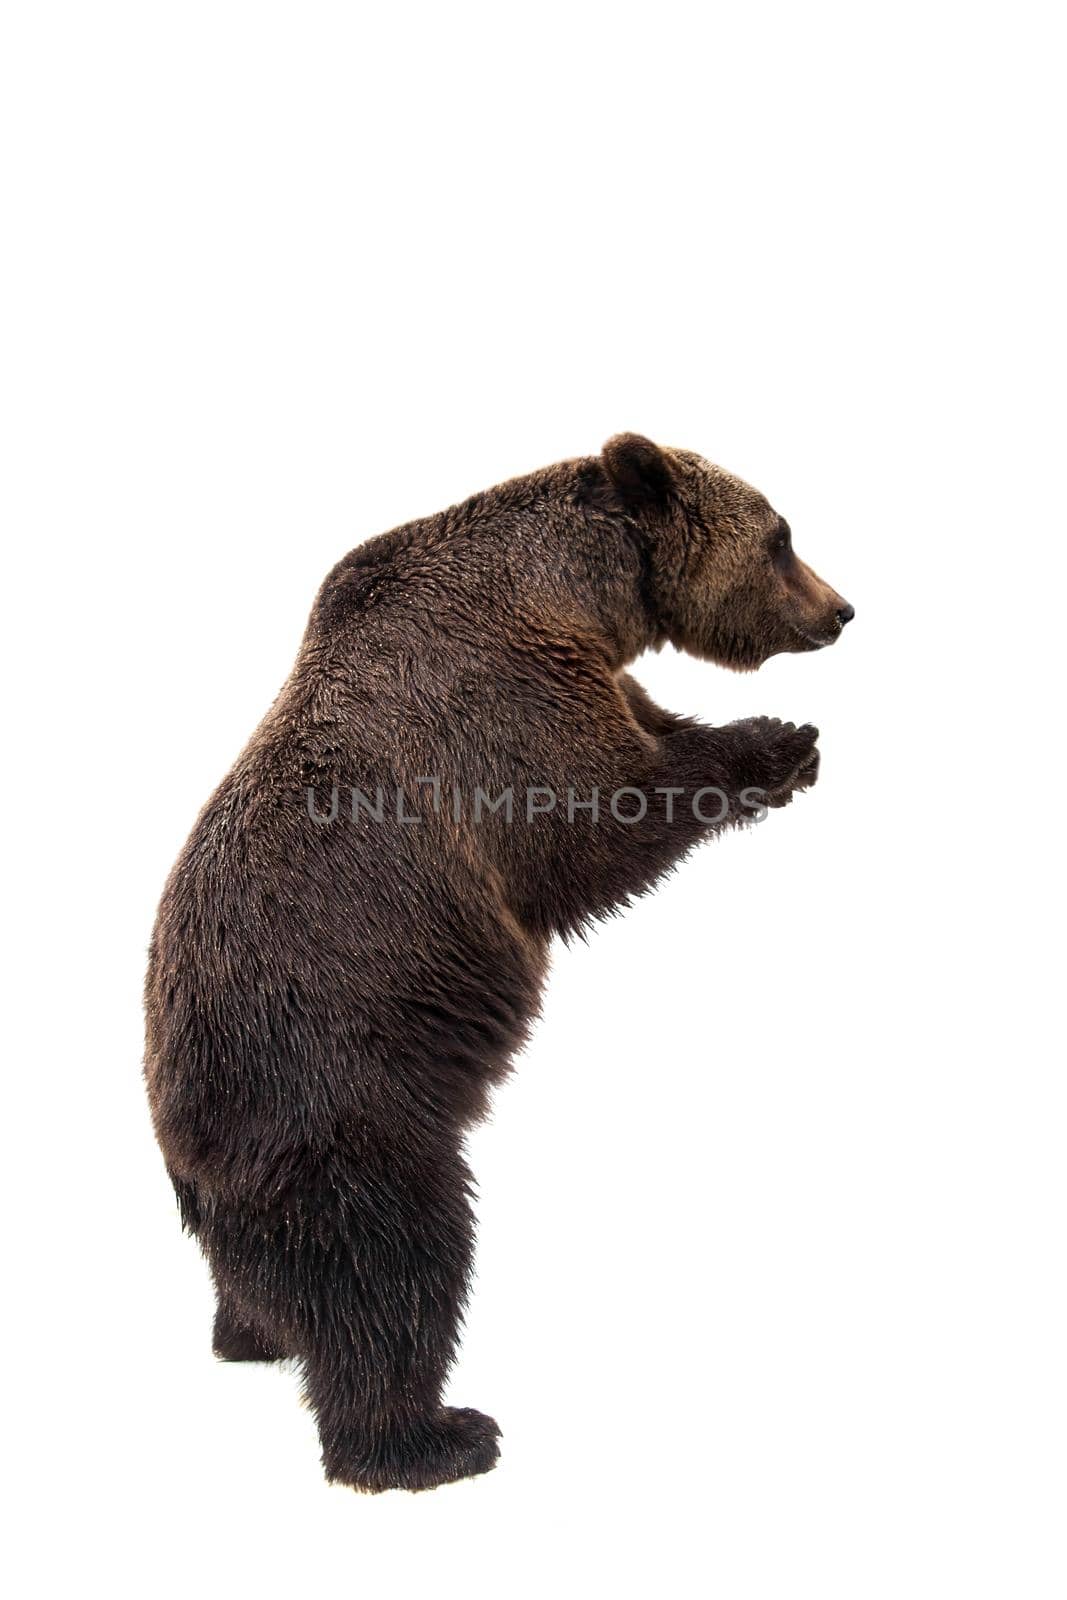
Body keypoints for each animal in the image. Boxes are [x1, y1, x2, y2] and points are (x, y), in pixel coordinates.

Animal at [146, 435, 857, 1484]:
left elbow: (651, 734)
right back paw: (429, 1437)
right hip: (341, 1109)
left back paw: (253, 1337)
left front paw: (783, 750)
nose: (841, 609)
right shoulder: (495, 707)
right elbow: (598, 819)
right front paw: (776, 741)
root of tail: (182, 1147)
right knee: (394, 1266)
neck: (573, 601)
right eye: (781, 538)